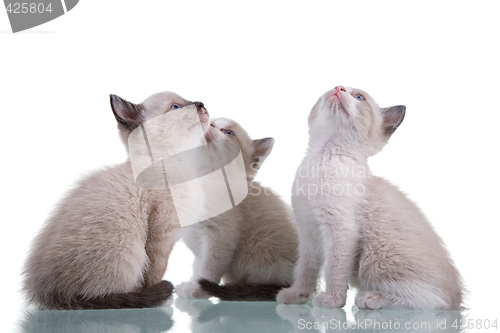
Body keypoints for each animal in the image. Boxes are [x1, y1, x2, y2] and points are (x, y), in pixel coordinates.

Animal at [22, 91, 210, 308]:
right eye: (176, 107)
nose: (201, 104)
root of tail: (48, 292)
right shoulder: (161, 236)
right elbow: (155, 272)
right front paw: (163, 300)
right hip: (128, 252)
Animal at [178, 117, 298, 300]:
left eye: (228, 132)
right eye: (211, 121)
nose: (210, 124)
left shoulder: (220, 237)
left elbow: (209, 267)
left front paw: (199, 290)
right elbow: (198, 265)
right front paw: (192, 283)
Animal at [276, 85, 462, 308]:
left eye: (359, 97)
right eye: (337, 87)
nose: (339, 88)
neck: (321, 157)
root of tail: (458, 297)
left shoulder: (340, 229)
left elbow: (333, 268)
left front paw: (333, 299)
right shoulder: (307, 232)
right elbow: (305, 268)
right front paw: (298, 295)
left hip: (376, 257)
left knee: (430, 299)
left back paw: (371, 298)